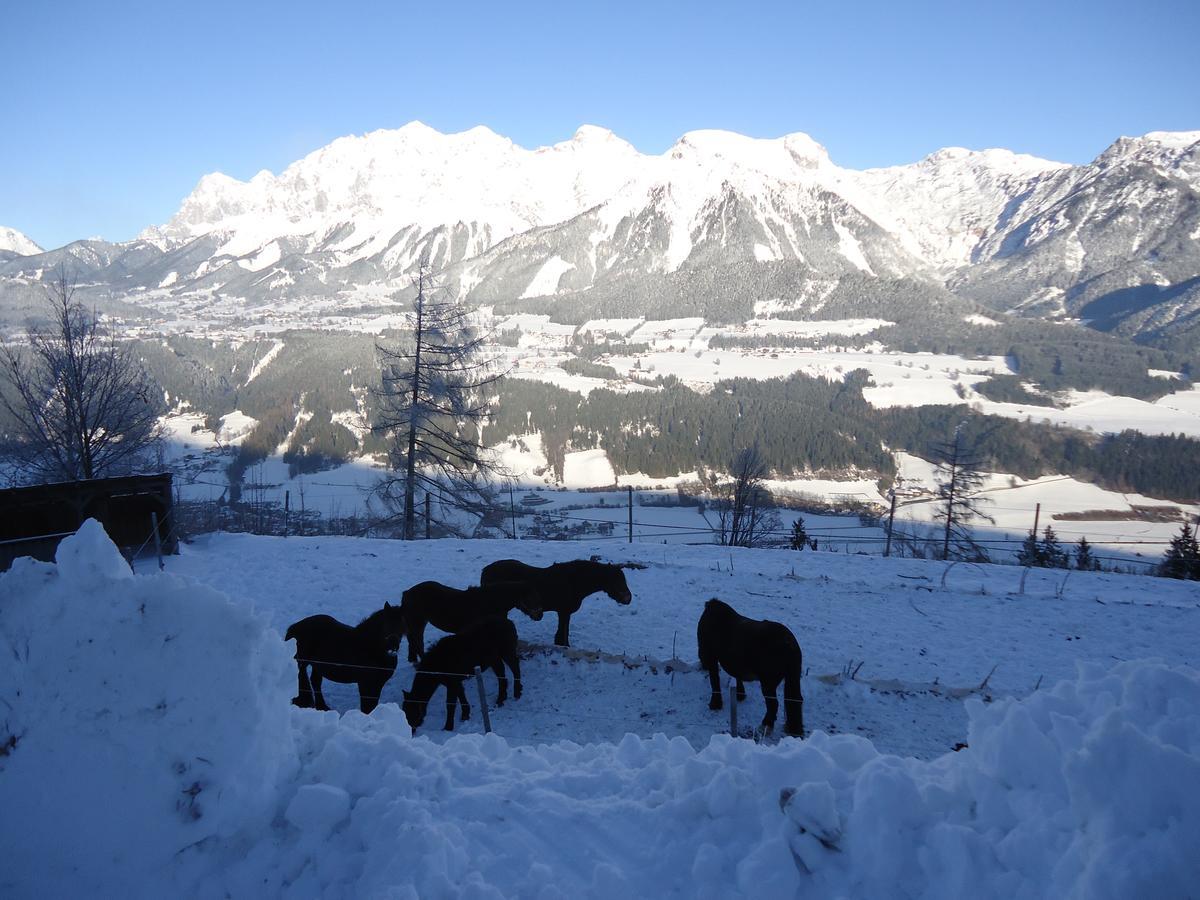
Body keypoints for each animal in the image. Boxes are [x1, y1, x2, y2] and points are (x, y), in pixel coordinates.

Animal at [398, 580, 544, 667]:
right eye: (531, 598)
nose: (540, 615)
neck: (491, 603)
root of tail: (406, 593)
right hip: (418, 623)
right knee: (418, 643)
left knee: (413, 642)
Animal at [480, 556, 643, 648]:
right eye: (616, 581)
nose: (628, 598)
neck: (573, 582)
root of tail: (486, 570)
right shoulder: (564, 612)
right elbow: (563, 633)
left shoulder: (564, 613)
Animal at [696, 600, 806, 739]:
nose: (702, 665)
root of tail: (789, 643)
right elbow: (736, 675)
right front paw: (740, 695)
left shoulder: (712, 657)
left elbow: (714, 680)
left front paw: (715, 704)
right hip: (793, 677)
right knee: (796, 701)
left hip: (768, 683)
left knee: (773, 704)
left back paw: (765, 726)